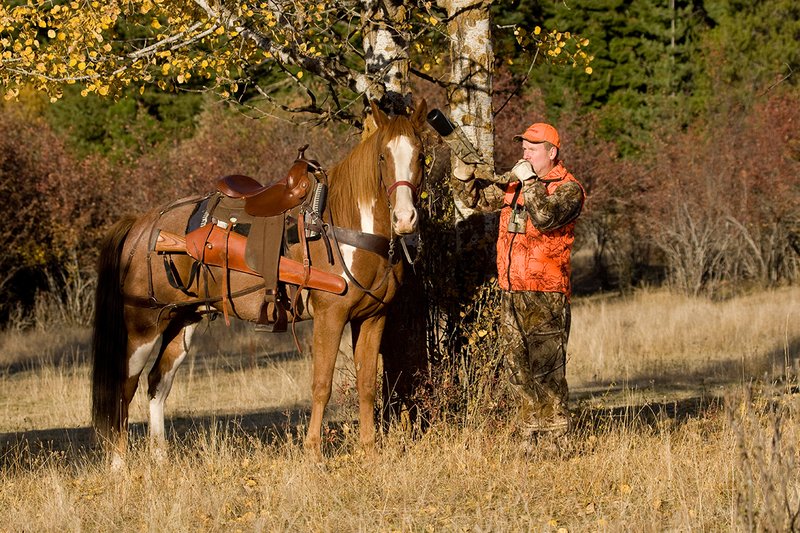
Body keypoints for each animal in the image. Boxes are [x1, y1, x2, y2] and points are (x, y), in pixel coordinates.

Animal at [91, 100, 428, 463]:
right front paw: (313, 454)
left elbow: (367, 384)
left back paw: (160, 459)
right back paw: (119, 463)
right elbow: (321, 384)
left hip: (183, 320)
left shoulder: (373, 318)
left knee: (157, 384)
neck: (345, 228)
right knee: (125, 386)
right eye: (382, 156)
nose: (405, 219)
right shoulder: (330, 317)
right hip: (143, 326)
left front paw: (370, 452)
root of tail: (141, 226)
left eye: (421, 155)